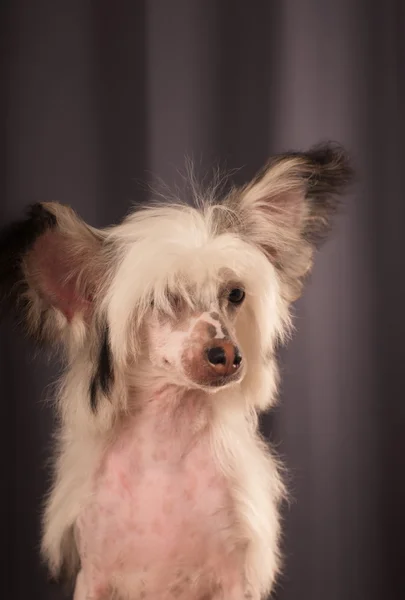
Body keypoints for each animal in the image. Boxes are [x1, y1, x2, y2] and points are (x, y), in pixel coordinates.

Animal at [0, 143, 350, 596]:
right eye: (164, 300)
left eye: (234, 294)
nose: (228, 353)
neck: (166, 444)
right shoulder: (92, 578)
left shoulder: (234, 581)